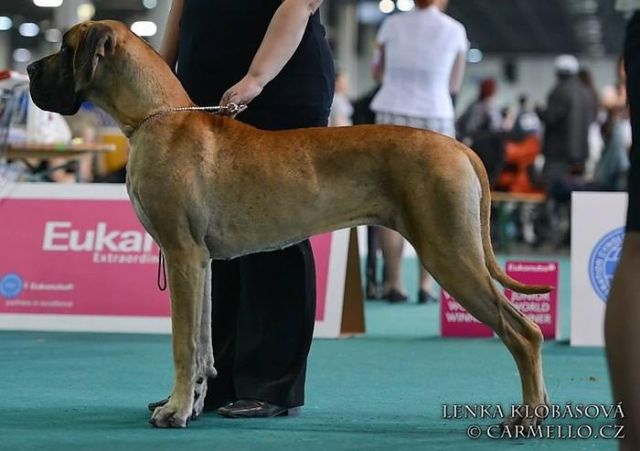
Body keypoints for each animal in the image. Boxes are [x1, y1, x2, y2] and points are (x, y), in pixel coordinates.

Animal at [28, 20, 550, 429]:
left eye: (66, 47)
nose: (30, 70)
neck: (156, 117)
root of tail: (459, 146)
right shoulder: (200, 262)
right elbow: (202, 345)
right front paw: (191, 404)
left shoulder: (180, 255)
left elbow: (182, 342)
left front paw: (174, 412)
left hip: (450, 254)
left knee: (524, 332)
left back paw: (526, 417)